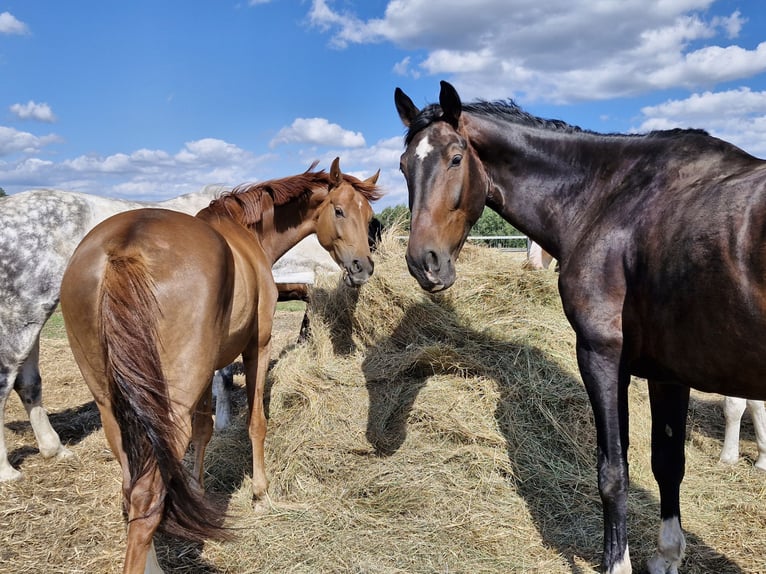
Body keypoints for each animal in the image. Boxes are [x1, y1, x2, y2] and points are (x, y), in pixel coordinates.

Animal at [59, 159, 380, 574]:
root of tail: (124, 247)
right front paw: (260, 494)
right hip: (168, 407)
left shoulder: (206, 370)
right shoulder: (256, 347)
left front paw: (197, 489)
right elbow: (256, 422)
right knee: (145, 496)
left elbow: (206, 427)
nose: (363, 267)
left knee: (132, 488)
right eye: (339, 211)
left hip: (114, 409)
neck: (245, 235)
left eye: (368, 216)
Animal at [400, 82, 766, 574]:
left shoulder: (601, 356)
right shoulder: (668, 374)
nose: (424, 263)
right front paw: (667, 555)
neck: (608, 200)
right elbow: (668, 462)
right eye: (404, 166)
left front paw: (617, 563)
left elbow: (613, 472)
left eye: (456, 158)